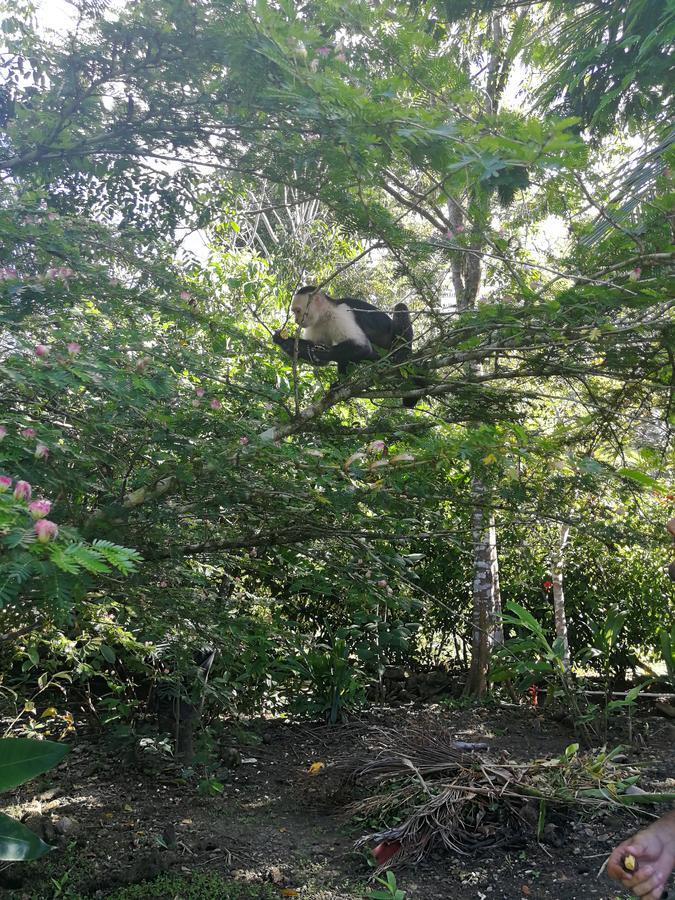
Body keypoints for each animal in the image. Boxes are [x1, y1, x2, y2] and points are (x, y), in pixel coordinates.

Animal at [272, 284, 420, 408]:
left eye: (298, 311)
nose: (296, 320)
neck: (326, 315)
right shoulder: (315, 324)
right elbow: (321, 359)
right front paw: (284, 341)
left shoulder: (342, 313)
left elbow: (362, 346)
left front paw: (321, 352)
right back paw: (341, 385)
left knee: (400, 308)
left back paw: (401, 354)